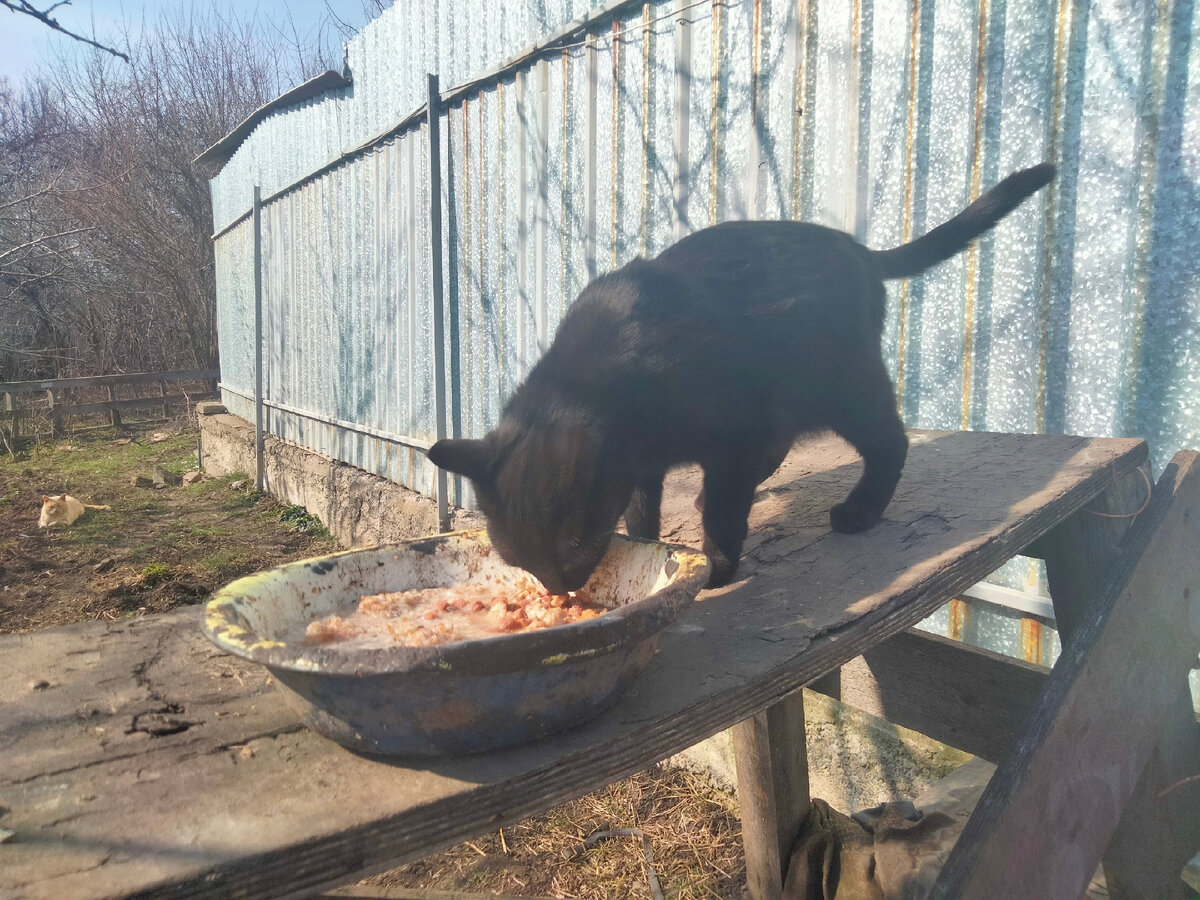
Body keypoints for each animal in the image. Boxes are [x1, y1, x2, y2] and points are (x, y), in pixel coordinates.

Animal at [427, 165, 1056, 595]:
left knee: (890, 442)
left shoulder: (734, 434)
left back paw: (860, 511)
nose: (560, 591)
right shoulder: (650, 461)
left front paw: (717, 569)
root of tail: (858, 249)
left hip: (843, 384)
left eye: (568, 550)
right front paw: (650, 546)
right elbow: (642, 509)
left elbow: (724, 512)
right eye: (521, 563)